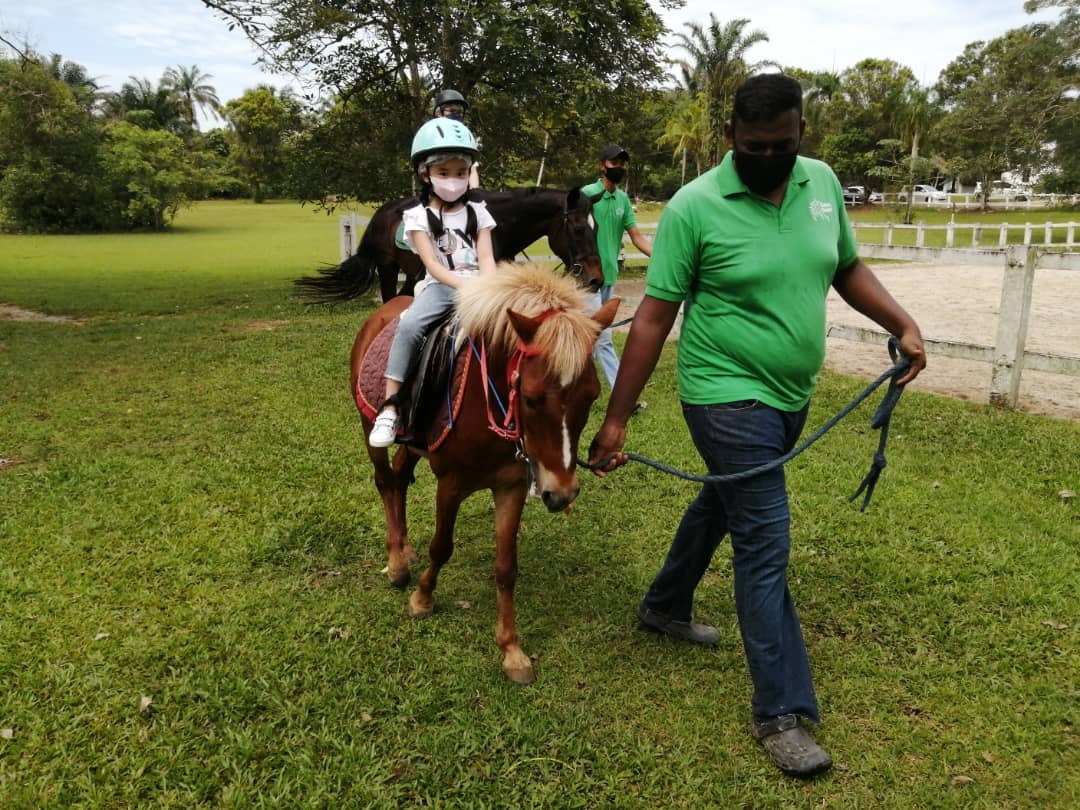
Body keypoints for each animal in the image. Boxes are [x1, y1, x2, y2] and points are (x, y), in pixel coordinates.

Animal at [295, 186, 609, 304]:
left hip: (413, 275)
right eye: (579, 228)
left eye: (597, 228)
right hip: (388, 269)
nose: (596, 278)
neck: (497, 226)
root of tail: (382, 214)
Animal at [349, 266, 622, 686]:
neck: (487, 400)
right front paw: (423, 598)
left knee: (398, 479)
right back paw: (396, 563)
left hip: (412, 444)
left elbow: (506, 567)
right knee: (383, 480)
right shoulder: (450, 483)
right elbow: (441, 547)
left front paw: (511, 650)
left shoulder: (511, 486)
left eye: (591, 396)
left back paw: (405, 548)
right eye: (531, 398)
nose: (561, 493)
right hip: (369, 428)